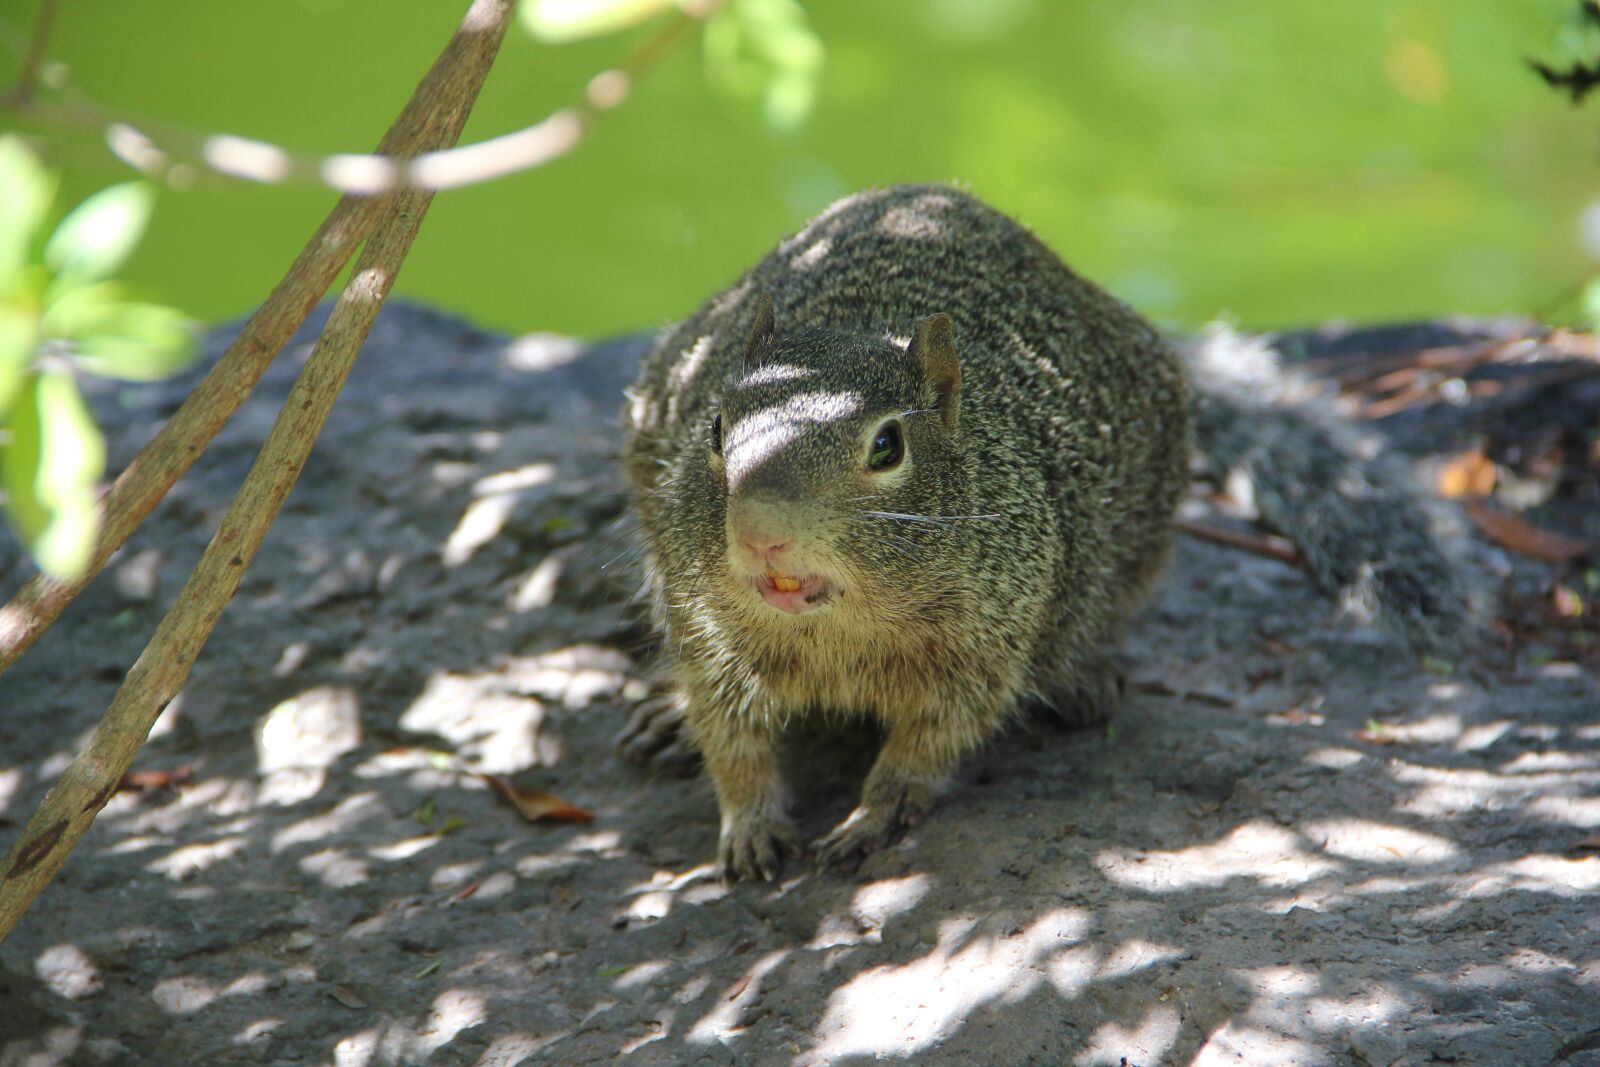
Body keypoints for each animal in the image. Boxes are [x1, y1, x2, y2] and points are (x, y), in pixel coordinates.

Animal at [618, 184, 1478, 882]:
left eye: (887, 445)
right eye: (716, 427)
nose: (761, 533)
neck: (835, 630)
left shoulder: (985, 645)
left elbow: (930, 741)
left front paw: (873, 813)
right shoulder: (704, 626)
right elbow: (731, 738)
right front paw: (749, 826)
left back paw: (1083, 680)